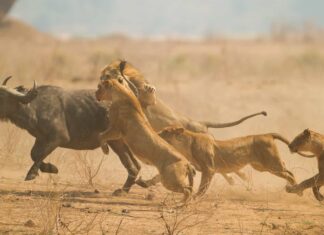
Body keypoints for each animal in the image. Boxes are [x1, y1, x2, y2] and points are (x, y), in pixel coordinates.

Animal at [146, 126, 310, 196]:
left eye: (166, 131)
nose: (156, 133)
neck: (186, 144)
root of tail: (267, 134)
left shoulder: (209, 169)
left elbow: (203, 186)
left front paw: (196, 197)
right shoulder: (193, 165)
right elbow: (158, 177)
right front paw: (147, 182)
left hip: (271, 164)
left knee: (289, 173)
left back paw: (297, 191)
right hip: (262, 166)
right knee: (288, 171)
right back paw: (295, 189)